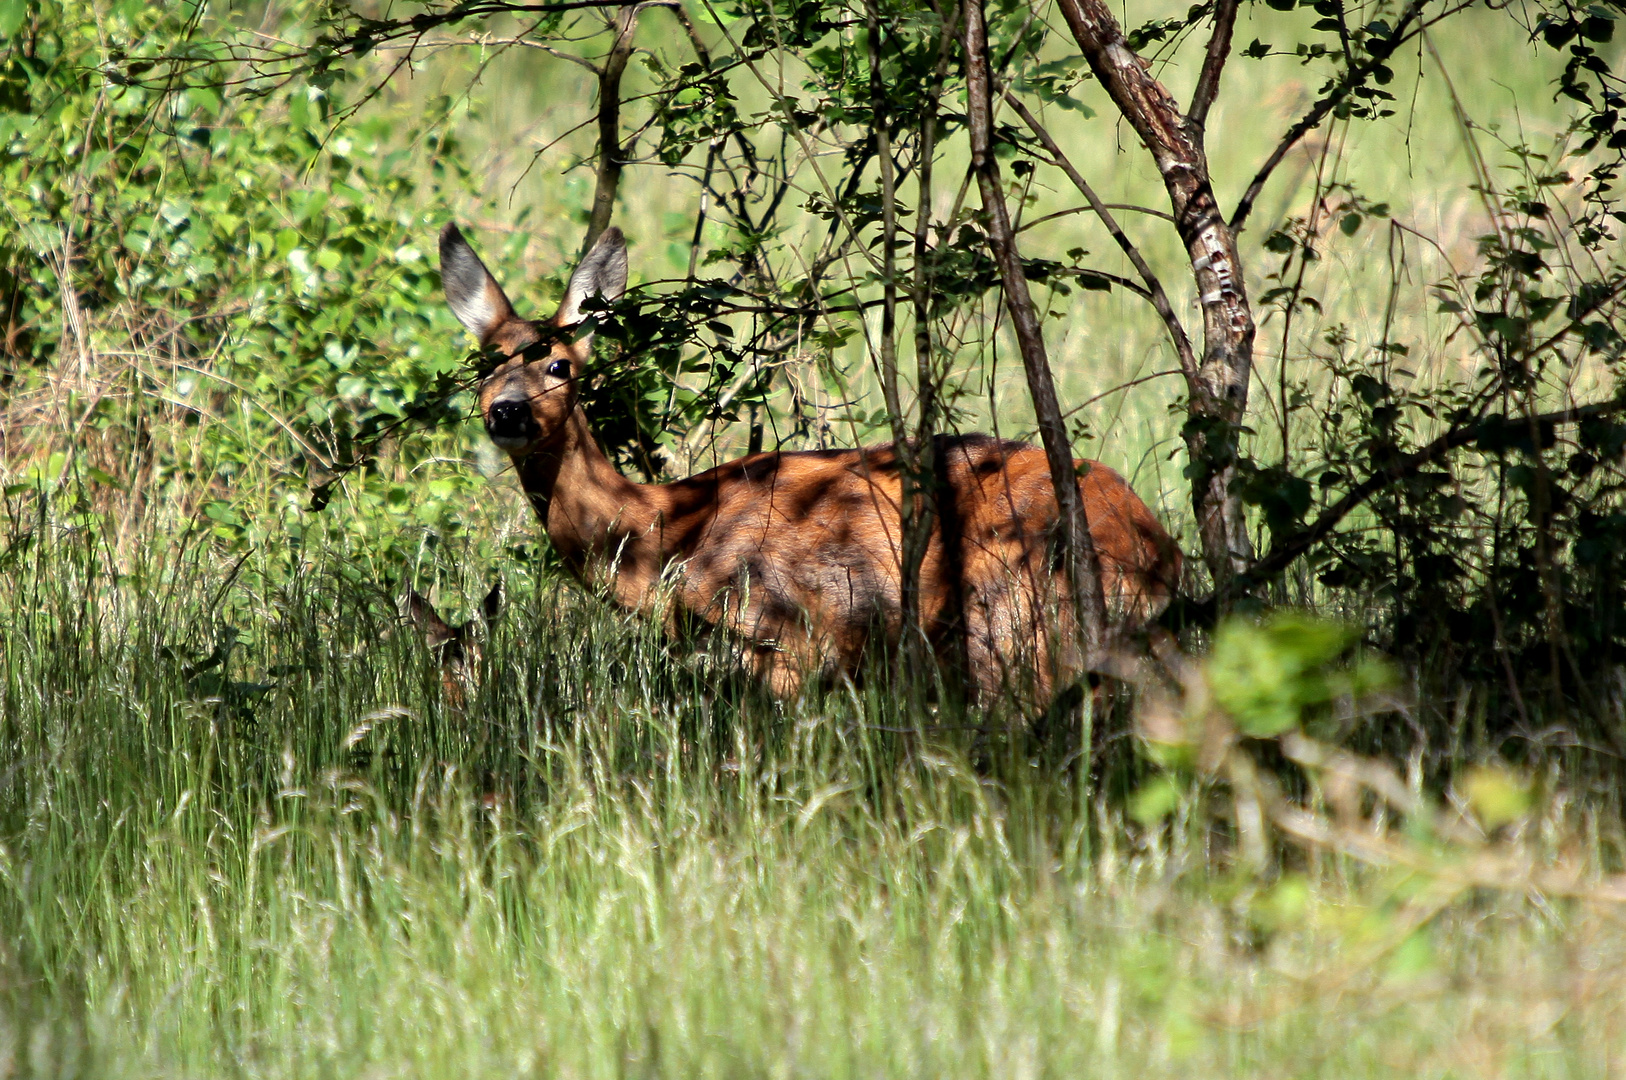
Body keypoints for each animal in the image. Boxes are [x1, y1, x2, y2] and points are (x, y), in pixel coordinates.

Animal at [445, 222, 1183, 705]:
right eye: (483, 364)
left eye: (559, 366)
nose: (506, 411)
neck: (664, 533)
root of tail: (1156, 550)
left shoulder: (792, 640)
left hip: (1009, 624)